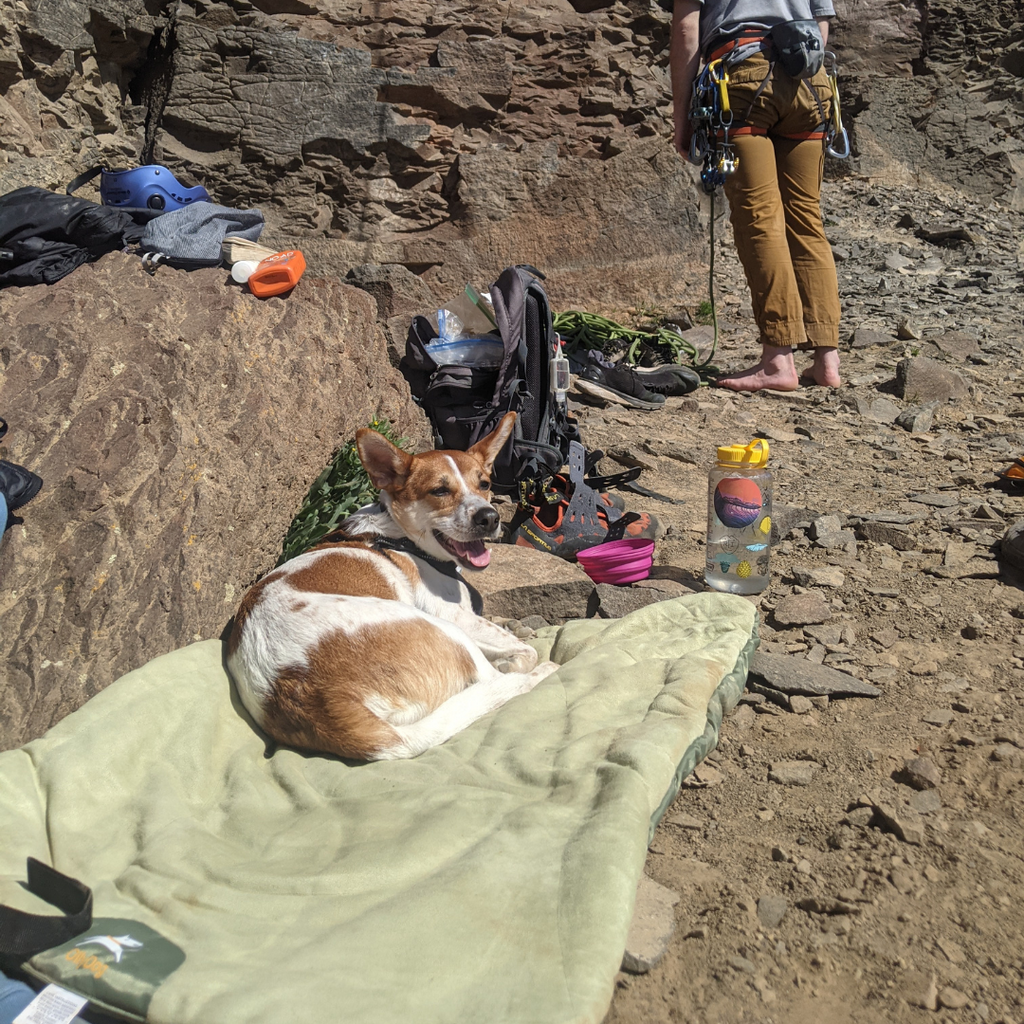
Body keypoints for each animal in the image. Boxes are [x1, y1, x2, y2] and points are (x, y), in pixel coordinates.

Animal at [226, 413, 561, 761]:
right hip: (443, 629)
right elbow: (522, 652)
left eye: (484, 484)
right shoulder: (453, 615)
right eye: (439, 490)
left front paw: (515, 628)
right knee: (499, 681)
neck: (399, 534)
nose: (490, 517)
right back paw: (533, 674)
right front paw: (515, 658)